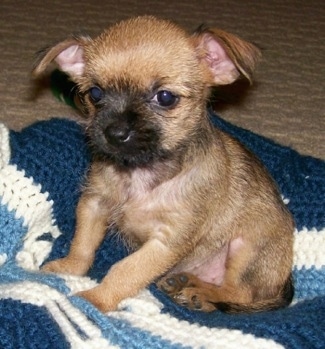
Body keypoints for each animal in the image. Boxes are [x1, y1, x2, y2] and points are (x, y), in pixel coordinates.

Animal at [33, 15, 294, 312]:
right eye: (95, 94)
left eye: (165, 97)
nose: (115, 132)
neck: (141, 173)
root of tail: (285, 281)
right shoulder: (94, 204)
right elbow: (83, 245)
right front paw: (69, 268)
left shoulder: (166, 241)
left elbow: (126, 271)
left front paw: (95, 300)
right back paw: (184, 282)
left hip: (246, 250)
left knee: (239, 293)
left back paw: (200, 296)